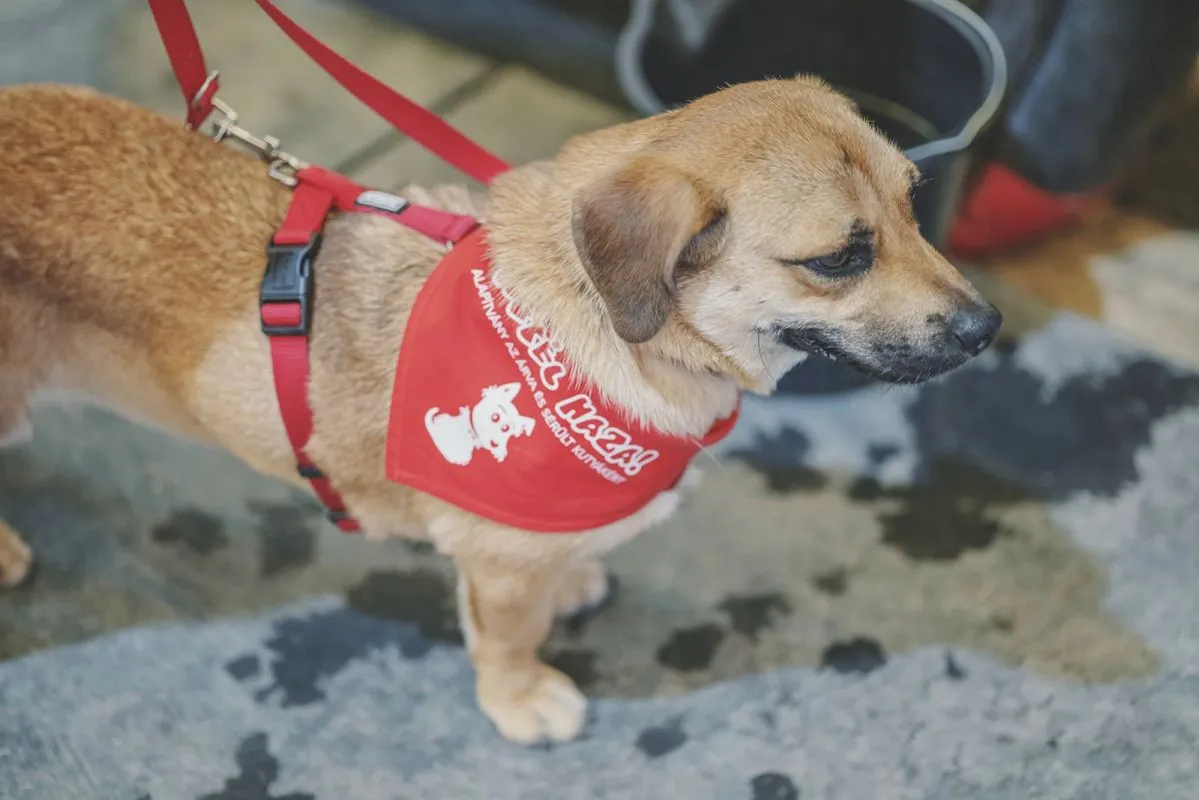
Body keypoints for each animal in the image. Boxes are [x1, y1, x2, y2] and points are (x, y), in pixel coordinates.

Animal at [0, 75, 1000, 744]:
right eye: (837, 258)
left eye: (915, 205)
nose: (988, 328)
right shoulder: (502, 561)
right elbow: (510, 640)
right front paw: (520, 699)